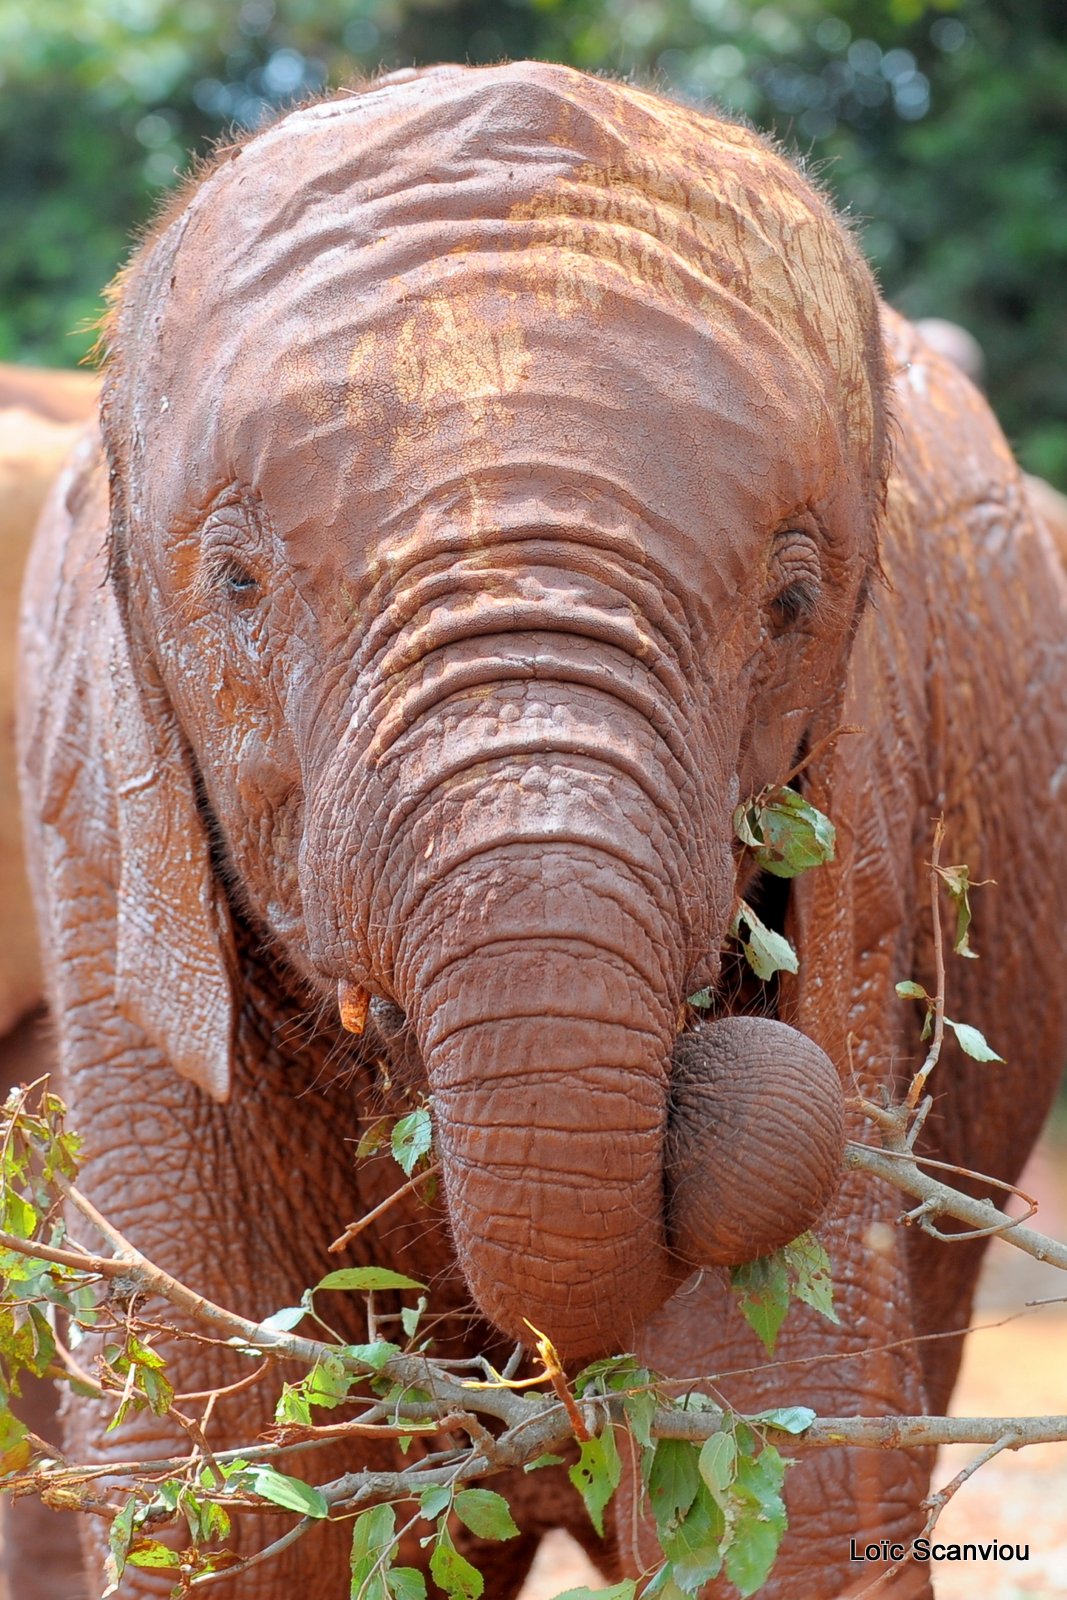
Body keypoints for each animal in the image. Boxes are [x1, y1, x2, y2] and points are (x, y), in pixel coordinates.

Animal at [14, 62, 1067, 1600]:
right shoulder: (99, 828)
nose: (724, 1064)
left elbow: (776, 1461)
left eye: (792, 601)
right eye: (237, 582)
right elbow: (227, 1500)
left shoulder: (871, 815)